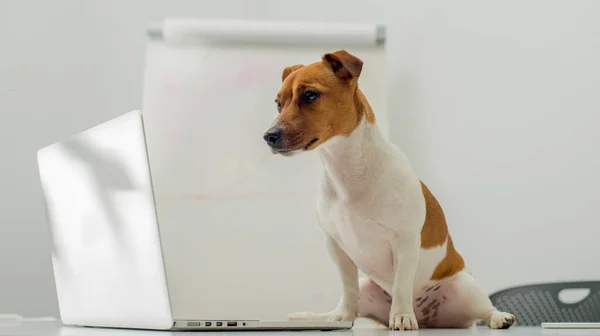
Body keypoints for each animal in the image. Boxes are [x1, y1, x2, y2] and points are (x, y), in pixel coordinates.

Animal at [262, 50, 516, 330]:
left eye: (309, 95)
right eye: (278, 103)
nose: (269, 136)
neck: (345, 168)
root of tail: (428, 317)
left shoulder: (405, 242)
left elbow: (402, 286)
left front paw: (402, 316)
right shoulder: (337, 247)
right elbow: (348, 288)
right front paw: (342, 318)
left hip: (465, 287)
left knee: (484, 309)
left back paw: (498, 317)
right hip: (369, 290)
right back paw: (317, 317)